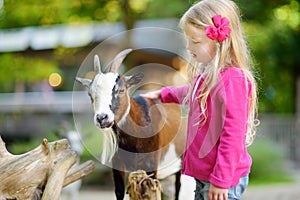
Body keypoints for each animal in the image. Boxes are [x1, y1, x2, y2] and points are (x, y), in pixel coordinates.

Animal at [76, 48, 186, 200]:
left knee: (178, 186)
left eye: (121, 90)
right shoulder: (117, 163)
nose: (102, 118)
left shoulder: (151, 163)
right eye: (90, 94)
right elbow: (119, 191)